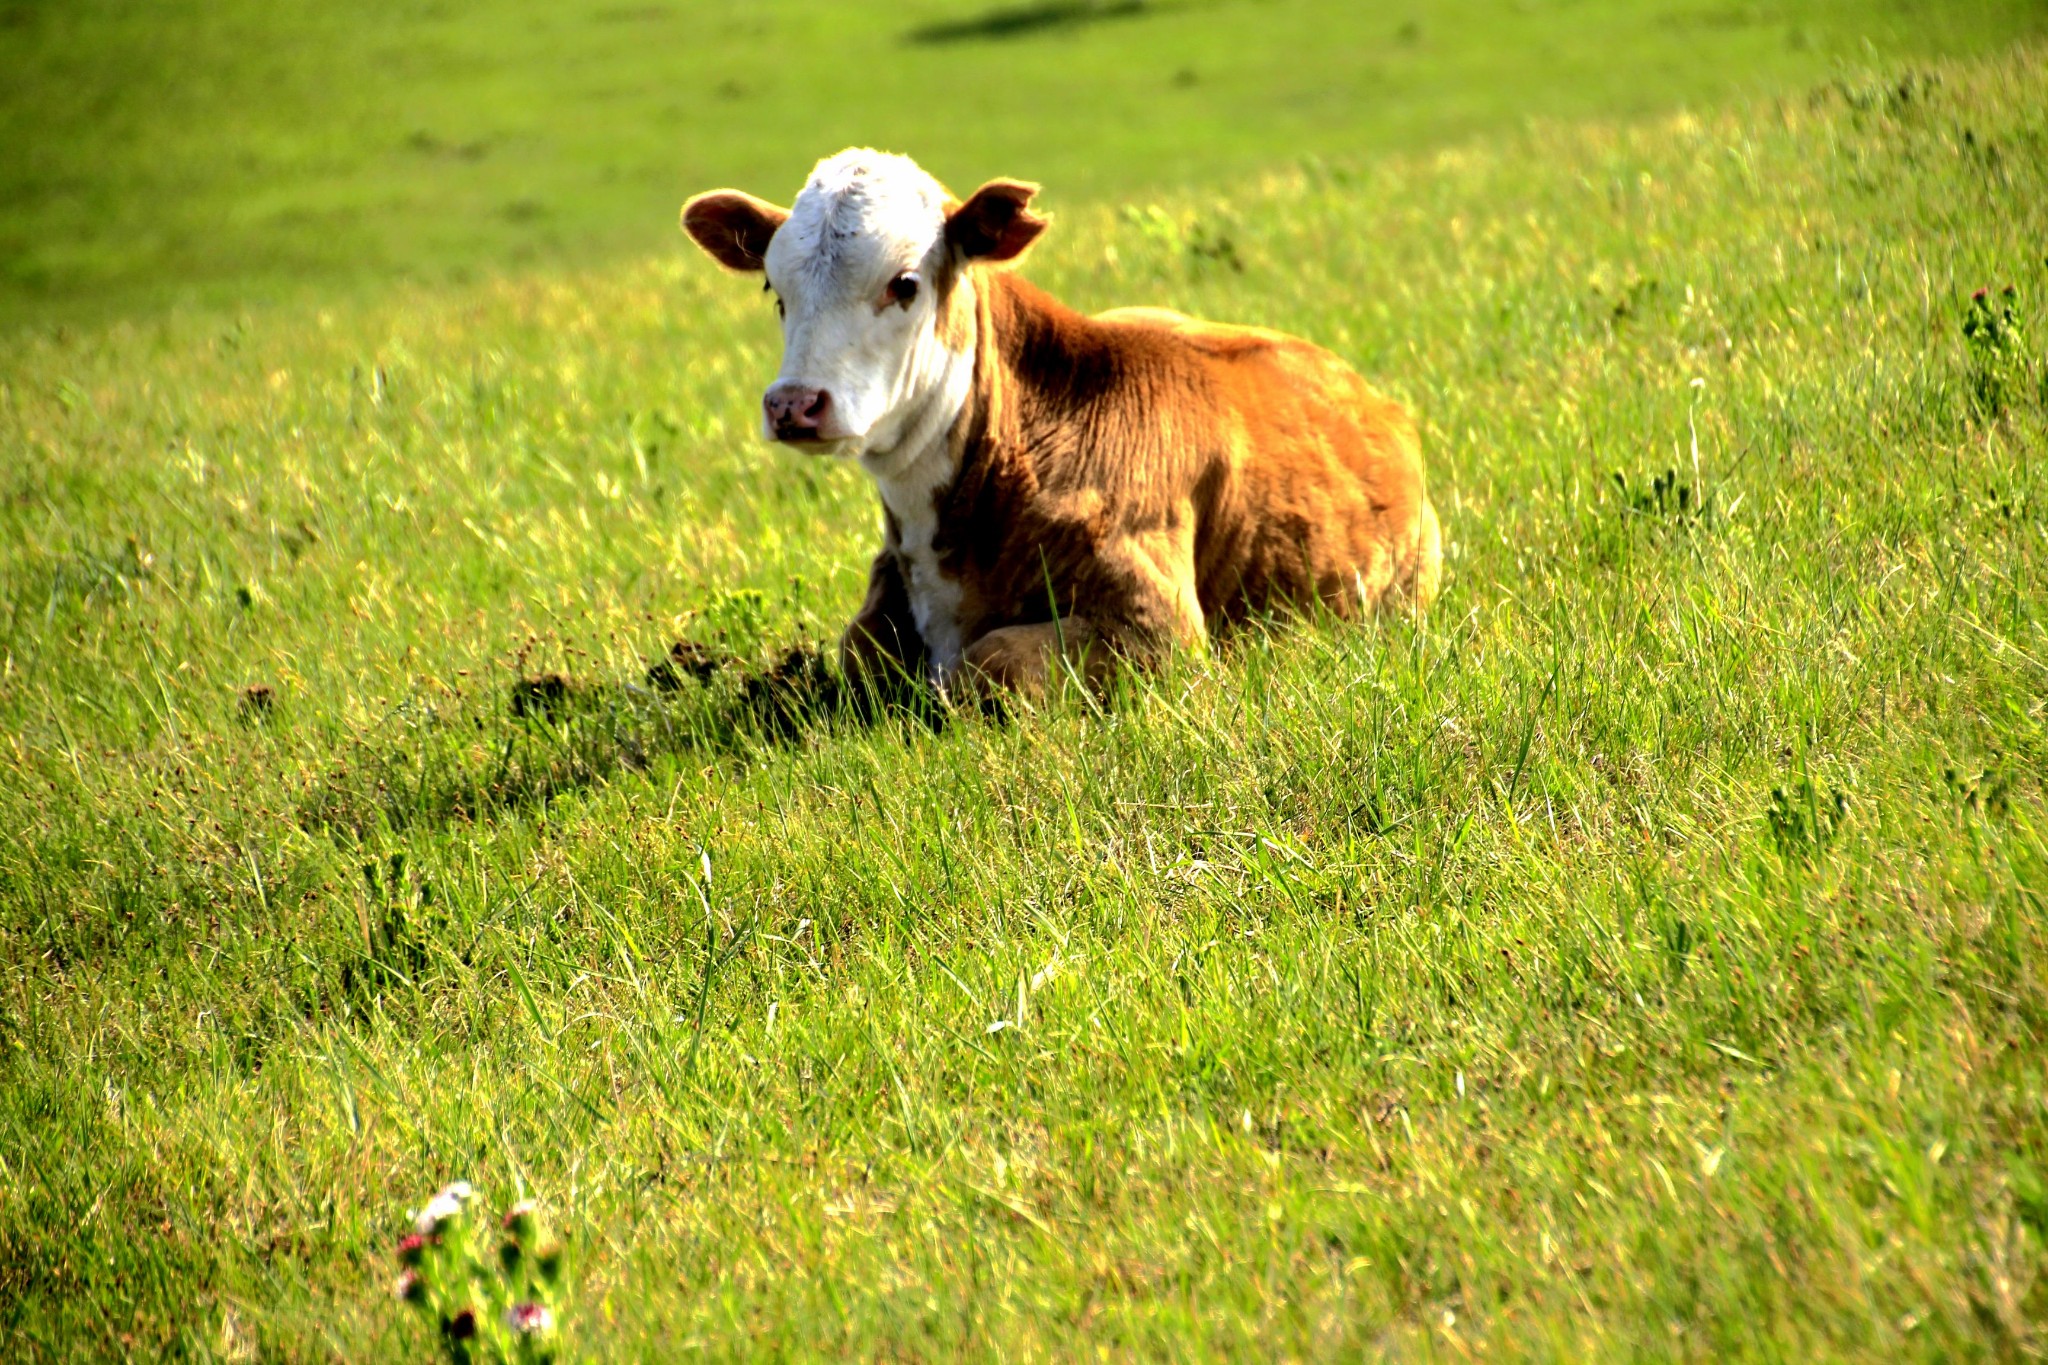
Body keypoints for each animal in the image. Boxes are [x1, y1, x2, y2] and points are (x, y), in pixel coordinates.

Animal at [684, 152, 1441, 695]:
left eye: (904, 283)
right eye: (775, 289)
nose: (793, 403)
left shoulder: (1161, 628)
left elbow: (990, 661)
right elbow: (861, 649)